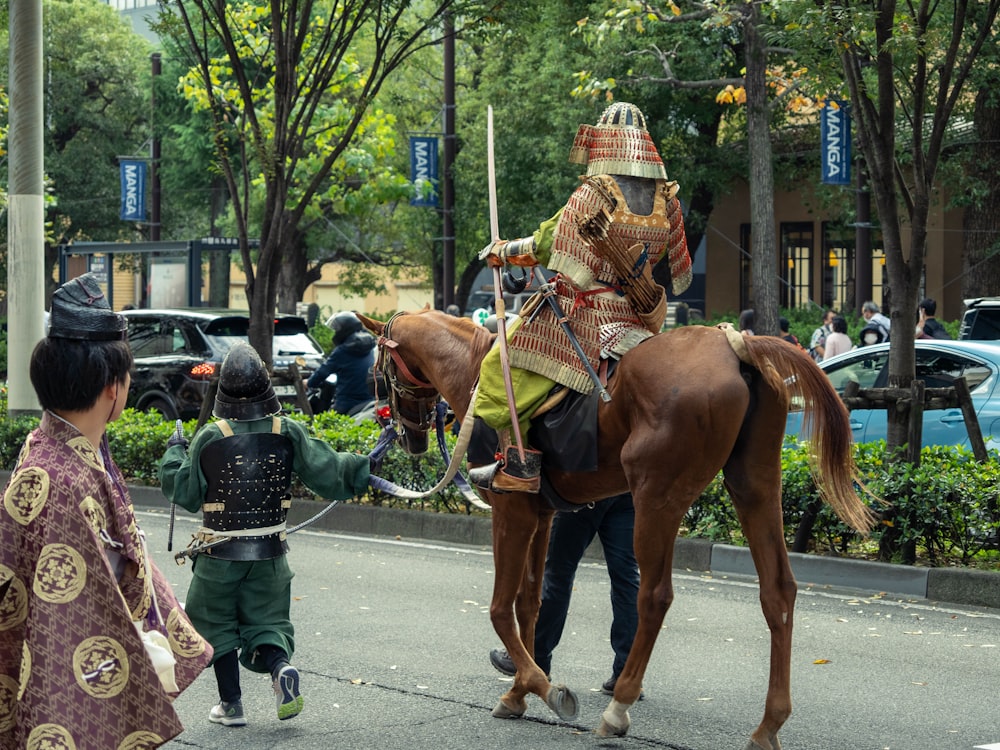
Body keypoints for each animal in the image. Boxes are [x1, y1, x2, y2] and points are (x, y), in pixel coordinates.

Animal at [358, 308, 868, 748]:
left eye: (375, 374)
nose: (408, 438)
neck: (477, 372)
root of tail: (734, 345)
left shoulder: (511, 510)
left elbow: (501, 608)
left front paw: (543, 687)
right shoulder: (542, 513)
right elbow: (531, 602)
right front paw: (519, 690)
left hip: (657, 495)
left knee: (654, 596)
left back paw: (619, 706)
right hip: (755, 484)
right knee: (777, 591)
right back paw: (768, 724)